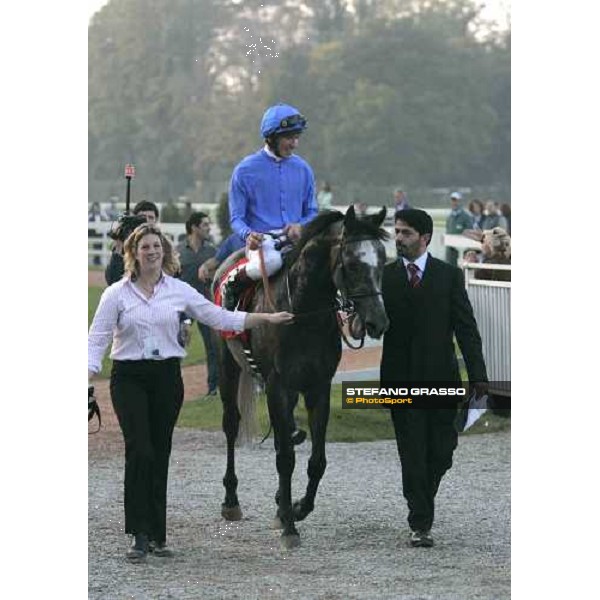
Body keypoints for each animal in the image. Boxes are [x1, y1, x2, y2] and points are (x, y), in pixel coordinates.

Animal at [213, 207, 386, 548]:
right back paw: (231, 501)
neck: (303, 314)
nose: (378, 322)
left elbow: (316, 461)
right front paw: (290, 528)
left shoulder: (317, 388)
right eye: (353, 263)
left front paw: (295, 508)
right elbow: (285, 459)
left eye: (383, 260)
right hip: (229, 366)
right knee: (231, 425)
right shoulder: (278, 386)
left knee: (286, 436)